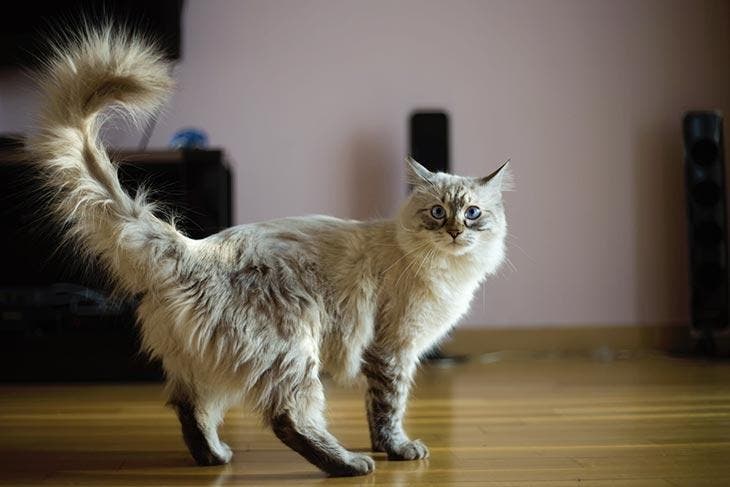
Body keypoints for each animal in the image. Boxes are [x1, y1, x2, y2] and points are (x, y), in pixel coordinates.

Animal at [25, 27, 510, 476]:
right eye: (437, 213)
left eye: (472, 213)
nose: (454, 231)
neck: (447, 272)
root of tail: (193, 250)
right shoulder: (392, 351)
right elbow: (388, 409)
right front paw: (395, 451)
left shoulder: (394, 353)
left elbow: (379, 412)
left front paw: (384, 447)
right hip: (292, 351)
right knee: (287, 419)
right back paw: (348, 465)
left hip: (206, 364)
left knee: (190, 408)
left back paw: (215, 458)